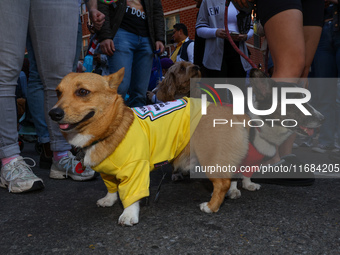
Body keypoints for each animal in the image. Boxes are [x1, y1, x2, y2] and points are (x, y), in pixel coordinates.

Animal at [49, 67, 322, 225]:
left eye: (83, 92)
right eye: (58, 92)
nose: (53, 113)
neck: (111, 128)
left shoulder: (136, 171)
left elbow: (132, 196)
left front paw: (128, 215)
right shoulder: (107, 172)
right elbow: (111, 187)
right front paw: (108, 199)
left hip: (211, 159)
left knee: (221, 183)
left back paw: (210, 207)